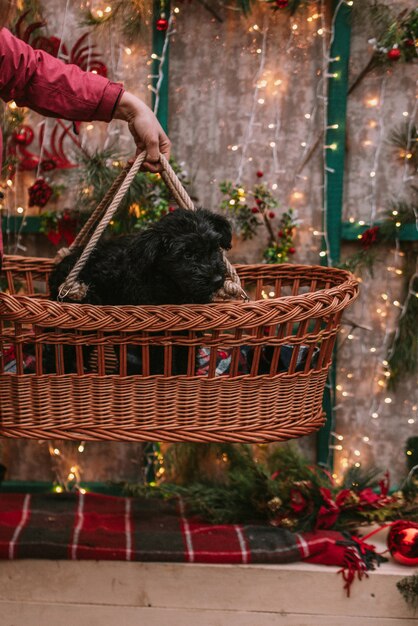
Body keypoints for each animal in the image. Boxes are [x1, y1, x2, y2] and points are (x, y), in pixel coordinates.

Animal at [48, 207, 235, 372]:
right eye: (187, 255)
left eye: (214, 247)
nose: (218, 279)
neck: (174, 288)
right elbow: (163, 364)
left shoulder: (189, 332)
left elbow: (186, 358)